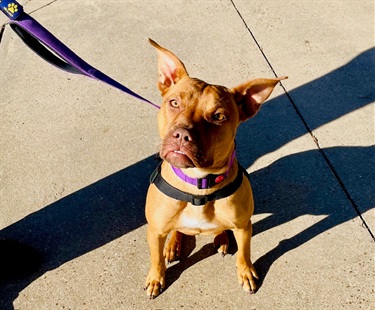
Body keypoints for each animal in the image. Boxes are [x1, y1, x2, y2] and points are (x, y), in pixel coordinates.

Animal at [145, 38, 286, 298]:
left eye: (219, 116)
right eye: (174, 102)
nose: (182, 135)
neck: (199, 183)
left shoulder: (244, 226)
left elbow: (244, 253)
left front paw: (246, 272)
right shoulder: (155, 229)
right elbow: (156, 258)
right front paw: (156, 278)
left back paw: (221, 239)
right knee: (177, 231)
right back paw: (173, 245)